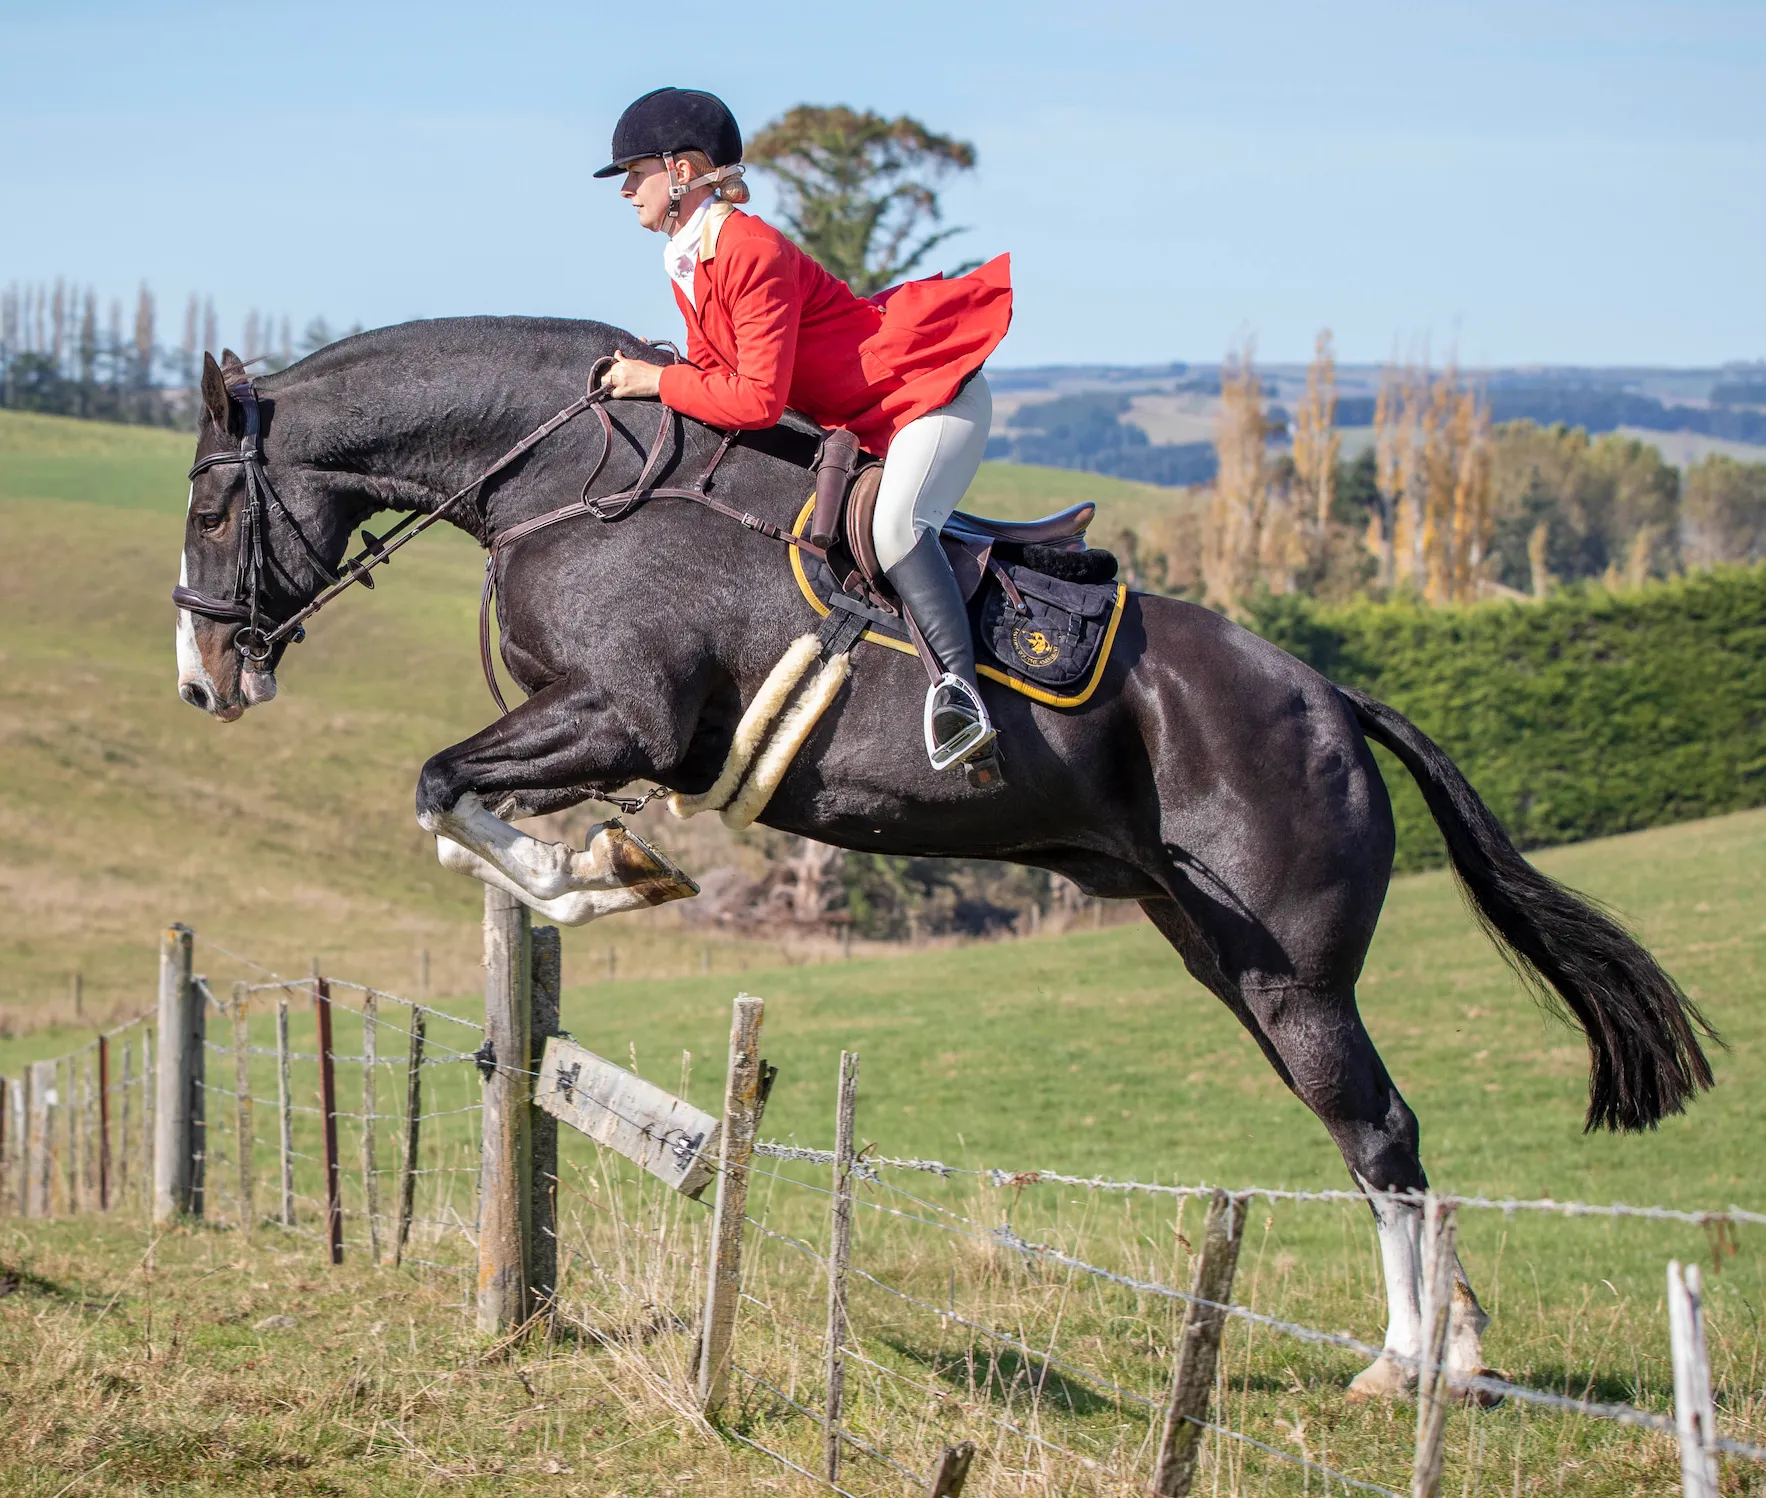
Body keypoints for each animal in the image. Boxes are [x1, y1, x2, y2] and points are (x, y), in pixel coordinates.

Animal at [175, 319, 1709, 1406]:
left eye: (206, 514)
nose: (203, 683)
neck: (570, 481)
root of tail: (1335, 700)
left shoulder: (623, 713)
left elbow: (442, 785)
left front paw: (599, 872)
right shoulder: (588, 726)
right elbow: (452, 801)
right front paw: (587, 865)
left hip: (1293, 975)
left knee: (1378, 1132)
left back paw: (1403, 1362)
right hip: (1217, 950)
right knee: (1368, 1131)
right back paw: (1457, 1348)